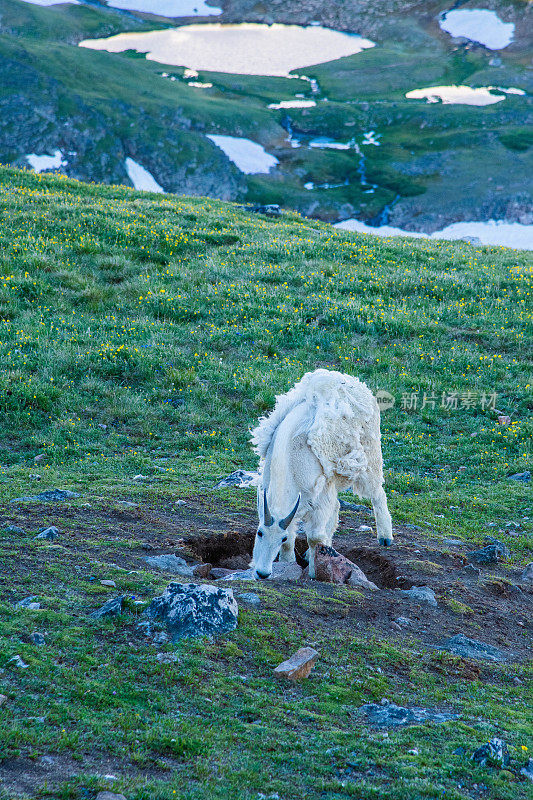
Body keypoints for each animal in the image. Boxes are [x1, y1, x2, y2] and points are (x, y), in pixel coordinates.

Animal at [248, 366, 390, 580]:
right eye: (259, 532)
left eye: (280, 538)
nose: (262, 573)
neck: (288, 455)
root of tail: (353, 381)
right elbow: (293, 531)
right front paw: (288, 563)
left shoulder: (318, 490)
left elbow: (314, 537)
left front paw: (315, 572)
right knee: (337, 506)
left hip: (370, 455)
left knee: (377, 493)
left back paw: (385, 537)